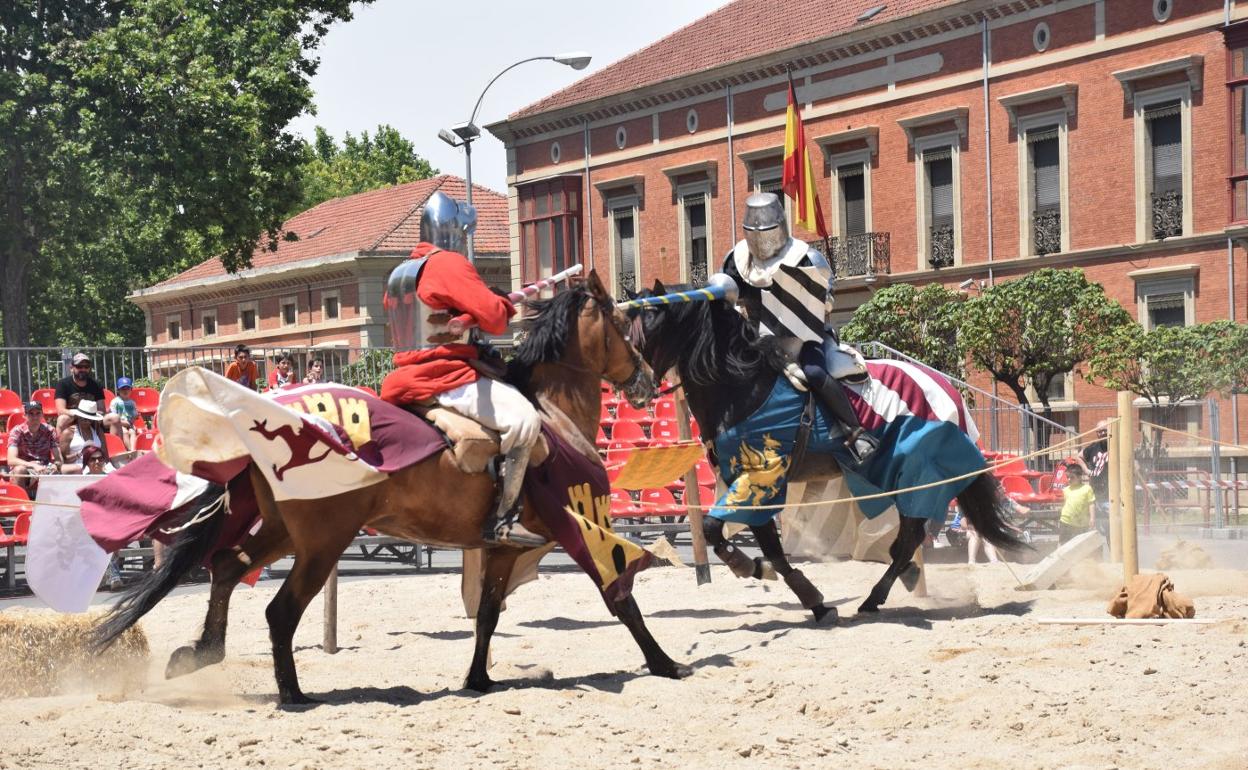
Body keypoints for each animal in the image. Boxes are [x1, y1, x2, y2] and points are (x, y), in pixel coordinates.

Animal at [96, 270, 693, 703]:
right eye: (621, 325)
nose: (647, 381)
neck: (552, 412)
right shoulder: (581, 524)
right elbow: (621, 597)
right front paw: (666, 664)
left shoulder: (500, 549)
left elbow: (488, 614)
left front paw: (478, 680)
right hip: (323, 541)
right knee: (279, 610)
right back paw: (293, 694)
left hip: (286, 532)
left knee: (225, 568)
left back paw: (203, 654)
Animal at [624, 280, 1023, 618]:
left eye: (653, 326)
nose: (633, 389)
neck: (743, 387)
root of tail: (945, 387)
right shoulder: (750, 482)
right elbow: (765, 548)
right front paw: (798, 592)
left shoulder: (761, 478)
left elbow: (714, 527)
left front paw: (753, 569)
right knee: (909, 536)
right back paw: (901, 576)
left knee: (911, 533)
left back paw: (876, 596)